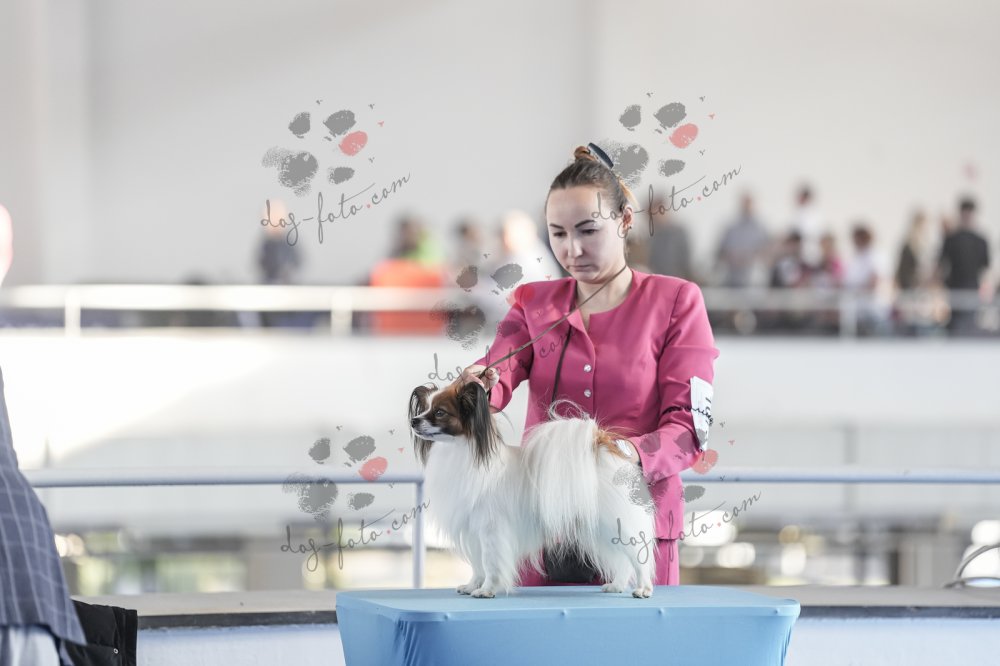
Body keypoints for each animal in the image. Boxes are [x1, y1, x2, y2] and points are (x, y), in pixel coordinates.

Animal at [408, 379, 656, 598]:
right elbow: (478, 565)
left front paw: (487, 590)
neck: (461, 451)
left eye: (440, 412)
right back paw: (617, 585)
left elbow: (490, 563)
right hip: (598, 530)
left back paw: (643, 589)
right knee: (622, 561)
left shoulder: (491, 530)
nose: (413, 421)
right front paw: (472, 586)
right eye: (425, 408)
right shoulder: (474, 531)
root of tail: (599, 444)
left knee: (637, 558)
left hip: (615, 524)